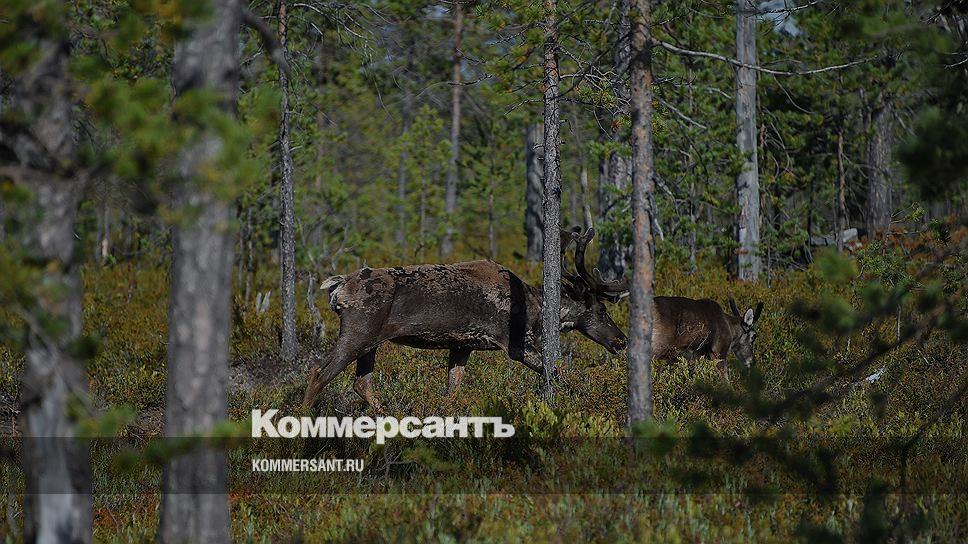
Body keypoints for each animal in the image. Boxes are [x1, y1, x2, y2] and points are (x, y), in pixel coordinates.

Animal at [302, 227, 629, 411]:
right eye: (602, 310)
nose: (621, 341)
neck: (535, 306)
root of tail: (338, 286)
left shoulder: (462, 345)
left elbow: (452, 390)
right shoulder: (514, 343)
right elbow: (558, 373)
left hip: (371, 341)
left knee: (360, 383)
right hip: (359, 332)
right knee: (321, 372)